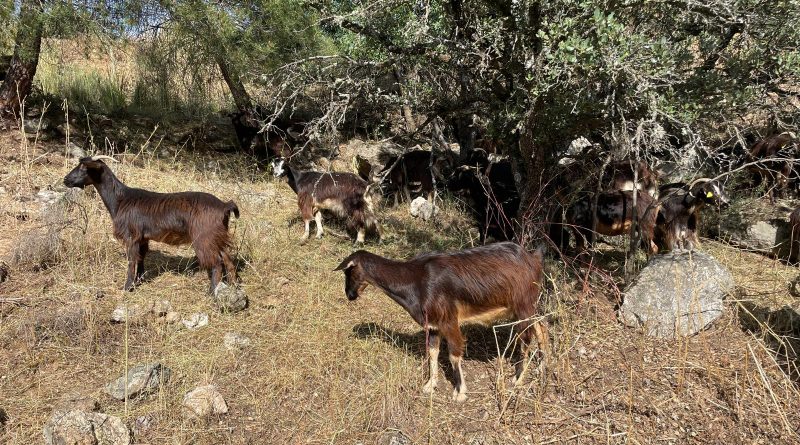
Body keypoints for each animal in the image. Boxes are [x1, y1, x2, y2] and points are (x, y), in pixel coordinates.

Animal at [63, 156, 239, 293]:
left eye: (84, 167)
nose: (66, 180)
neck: (120, 200)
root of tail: (224, 205)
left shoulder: (131, 236)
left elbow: (132, 261)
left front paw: (127, 287)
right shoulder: (142, 238)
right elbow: (141, 258)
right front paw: (139, 280)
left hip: (204, 238)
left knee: (216, 263)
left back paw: (213, 291)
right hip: (216, 236)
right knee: (227, 258)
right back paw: (232, 285)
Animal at [334, 242, 549, 402]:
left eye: (348, 272)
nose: (350, 295)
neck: (414, 280)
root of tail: (533, 259)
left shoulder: (449, 320)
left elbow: (454, 354)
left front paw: (460, 392)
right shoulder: (433, 325)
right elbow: (433, 352)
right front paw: (430, 385)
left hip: (523, 305)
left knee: (526, 338)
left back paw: (518, 379)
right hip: (525, 307)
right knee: (541, 327)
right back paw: (541, 366)